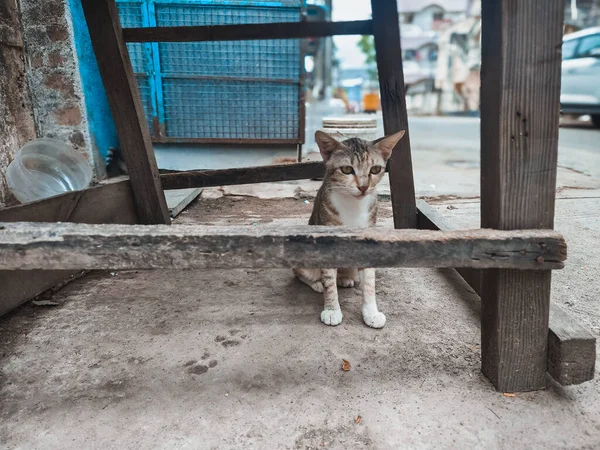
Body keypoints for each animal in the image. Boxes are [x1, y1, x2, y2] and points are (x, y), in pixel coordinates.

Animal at [292, 128, 406, 328]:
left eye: (375, 169)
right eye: (346, 169)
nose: (363, 187)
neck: (353, 206)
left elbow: (369, 282)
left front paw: (371, 312)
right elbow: (329, 281)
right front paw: (332, 310)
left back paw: (345, 278)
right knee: (302, 274)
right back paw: (317, 283)